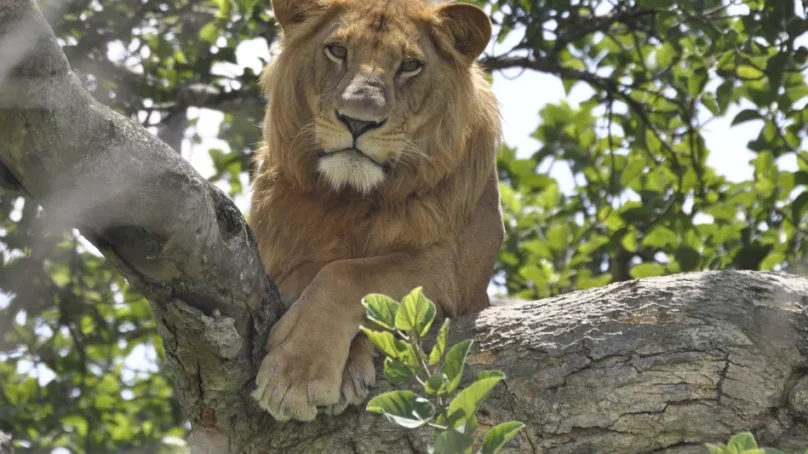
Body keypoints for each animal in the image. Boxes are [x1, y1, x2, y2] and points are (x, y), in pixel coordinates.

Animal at [248, 0, 504, 422]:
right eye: (337, 50)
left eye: (410, 65)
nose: (357, 120)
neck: (353, 198)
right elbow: (315, 269)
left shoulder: (451, 271)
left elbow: (346, 273)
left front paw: (296, 375)